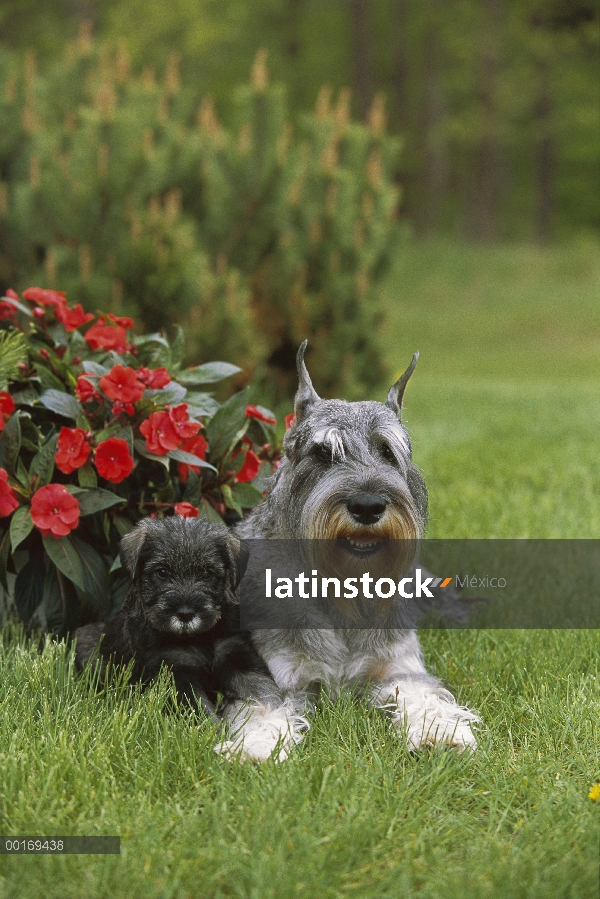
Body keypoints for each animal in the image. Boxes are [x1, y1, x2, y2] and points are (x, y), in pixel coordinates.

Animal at [75, 516, 282, 720]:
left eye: (207, 573)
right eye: (162, 572)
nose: (185, 614)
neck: (199, 637)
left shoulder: (236, 653)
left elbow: (262, 689)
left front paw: (276, 719)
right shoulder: (174, 672)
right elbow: (199, 712)